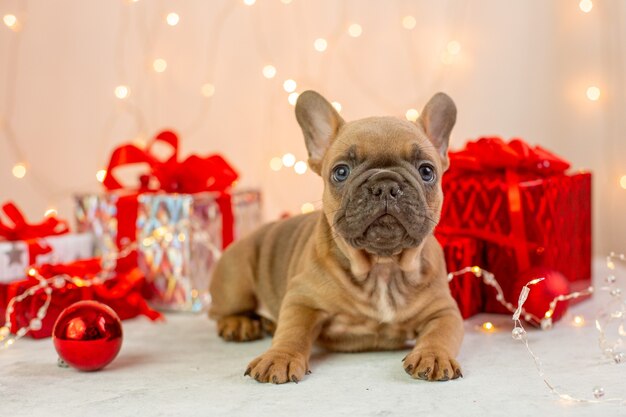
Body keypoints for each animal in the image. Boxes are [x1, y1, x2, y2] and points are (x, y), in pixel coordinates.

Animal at [210, 91, 464, 384]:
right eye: (341, 172)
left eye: (426, 171)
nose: (385, 185)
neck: (382, 268)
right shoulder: (302, 298)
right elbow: (293, 330)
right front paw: (279, 357)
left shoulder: (444, 310)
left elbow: (441, 332)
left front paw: (433, 356)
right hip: (236, 280)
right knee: (219, 312)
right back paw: (238, 323)